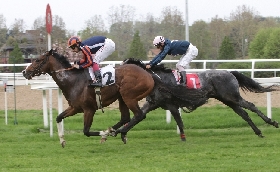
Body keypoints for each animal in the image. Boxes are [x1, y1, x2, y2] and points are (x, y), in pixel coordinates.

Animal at [22, 49, 206, 147]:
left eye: (38, 60)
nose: (24, 72)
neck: (74, 80)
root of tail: (149, 74)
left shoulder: (89, 109)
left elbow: (86, 131)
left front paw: (104, 133)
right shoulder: (75, 108)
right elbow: (59, 117)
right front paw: (62, 140)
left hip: (128, 95)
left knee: (138, 115)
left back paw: (120, 132)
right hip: (122, 98)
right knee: (126, 117)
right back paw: (117, 131)